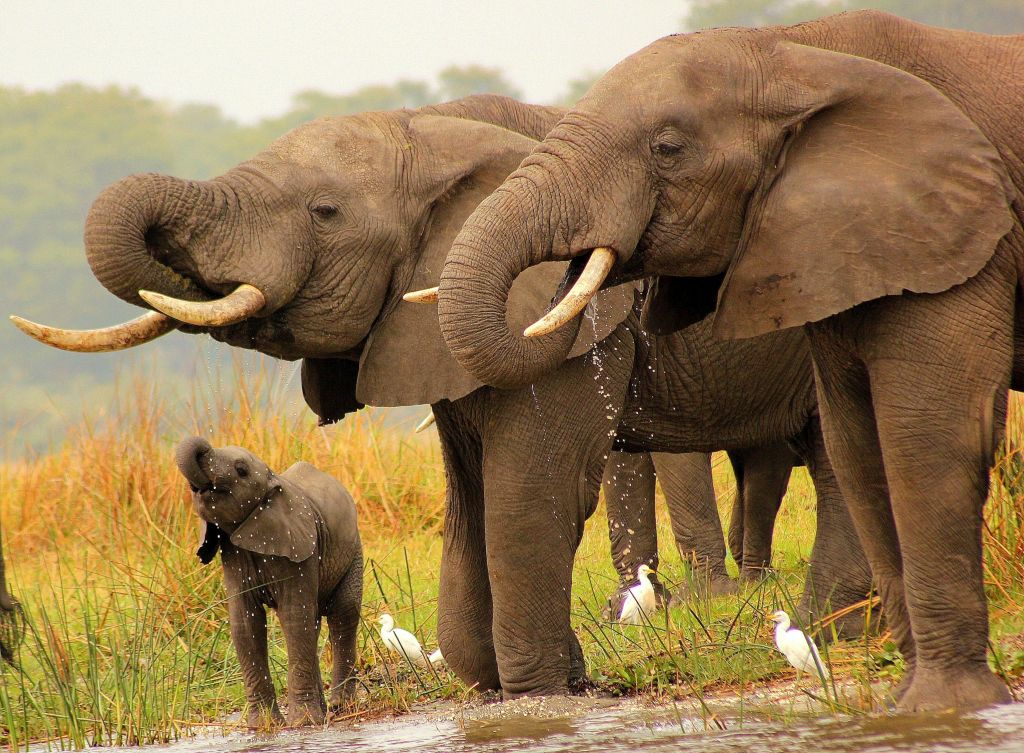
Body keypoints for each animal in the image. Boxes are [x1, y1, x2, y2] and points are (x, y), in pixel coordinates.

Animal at [175, 436, 363, 726]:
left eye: (241, 470)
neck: (273, 478)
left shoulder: (300, 547)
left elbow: (295, 618)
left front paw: (303, 723)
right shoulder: (233, 555)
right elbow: (245, 624)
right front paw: (264, 726)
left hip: (353, 552)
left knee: (343, 613)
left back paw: (340, 708)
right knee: (313, 623)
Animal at [436, 12, 1023, 711]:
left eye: (667, 148)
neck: (795, 51)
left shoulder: (949, 229)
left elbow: (926, 433)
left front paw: (944, 708)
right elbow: (859, 440)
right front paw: (910, 703)